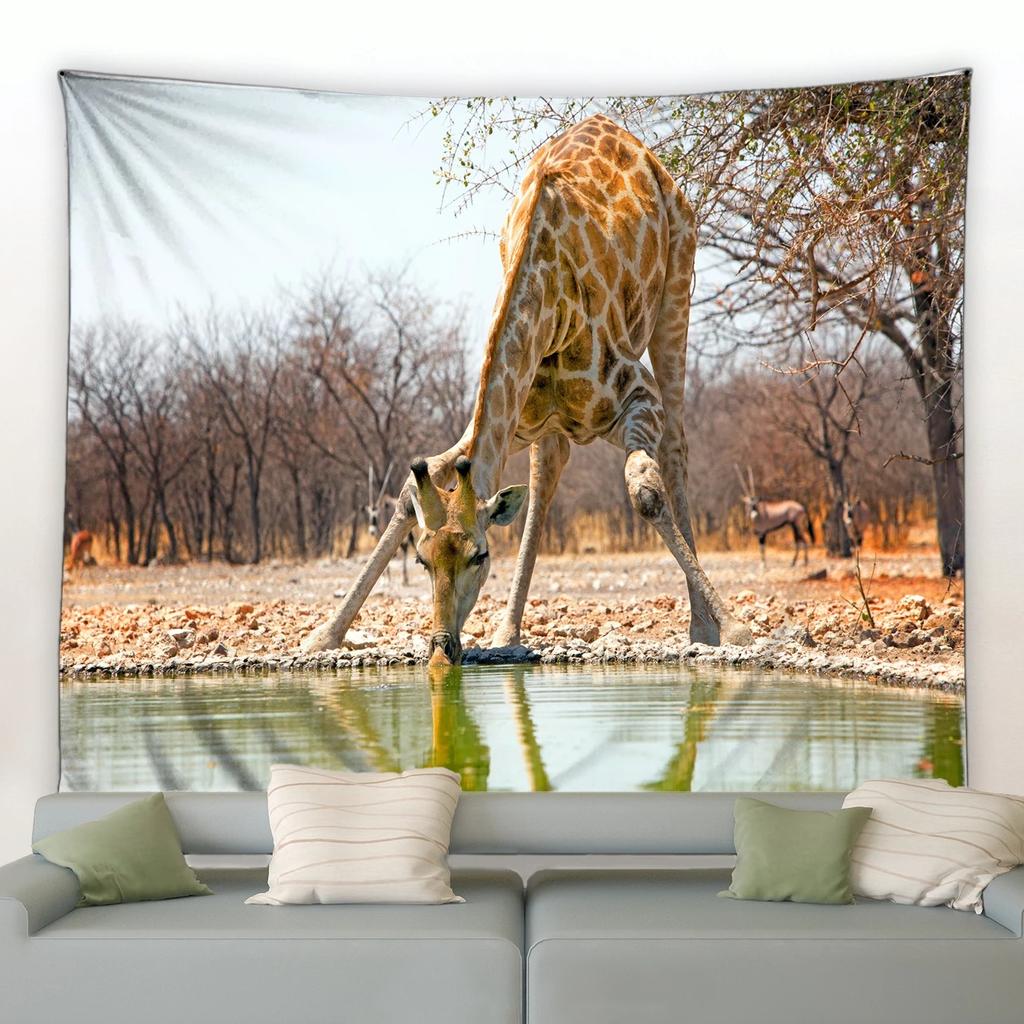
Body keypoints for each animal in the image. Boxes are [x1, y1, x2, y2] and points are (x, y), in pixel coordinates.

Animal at [304, 114, 753, 665]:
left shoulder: (637, 397)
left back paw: (700, 626)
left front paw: (733, 629)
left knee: (675, 446)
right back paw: (508, 630)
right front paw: (322, 635)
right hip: (549, 421)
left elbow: (644, 490)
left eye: (480, 555)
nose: (443, 648)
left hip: (678, 285)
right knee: (548, 470)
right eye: (424, 559)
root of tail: (635, 144)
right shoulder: (512, 419)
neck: (548, 305)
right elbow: (415, 487)